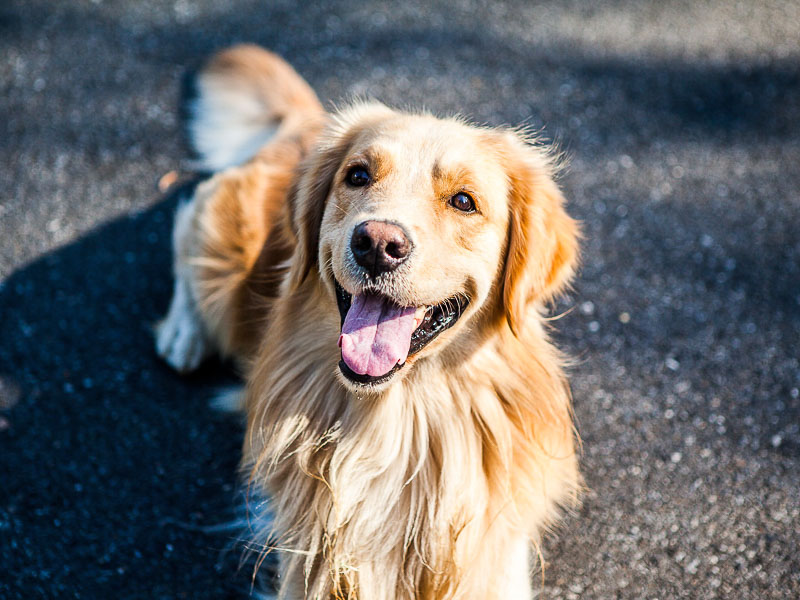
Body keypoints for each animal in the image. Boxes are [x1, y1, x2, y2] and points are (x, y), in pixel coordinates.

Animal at [156, 44, 580, 596]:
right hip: (223, 258)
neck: (399, 418)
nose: (377, 244)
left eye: (464, 201)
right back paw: (182, 331)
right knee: (186, 222)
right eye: (358, 175)